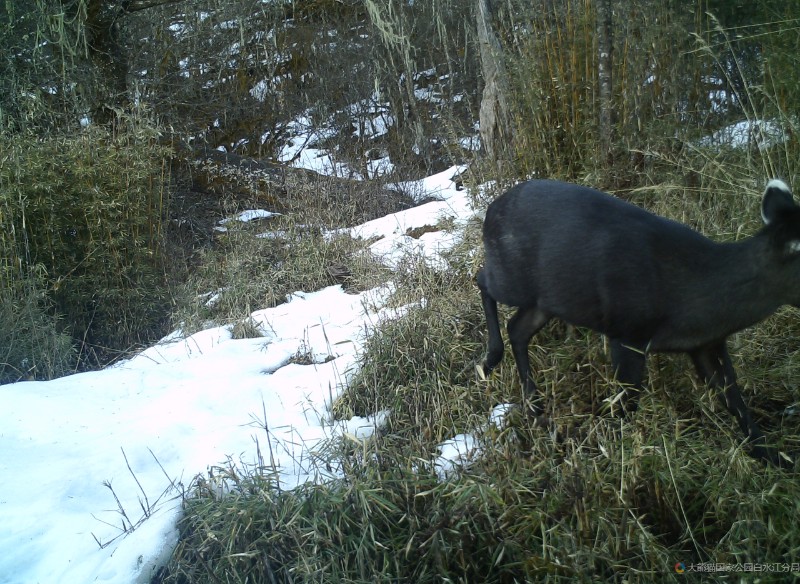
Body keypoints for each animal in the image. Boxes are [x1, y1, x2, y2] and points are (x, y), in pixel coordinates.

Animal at [478, 178, 796, 466]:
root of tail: (490, 211)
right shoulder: (627, 332)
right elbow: (627, 401)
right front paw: (610, 454)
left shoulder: (708, 344)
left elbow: (734, 397)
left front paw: (772, 457)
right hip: (514, 279)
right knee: (482, 280)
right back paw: (489, 361)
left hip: (547, 299)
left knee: (517, 329)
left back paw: (534, 405)